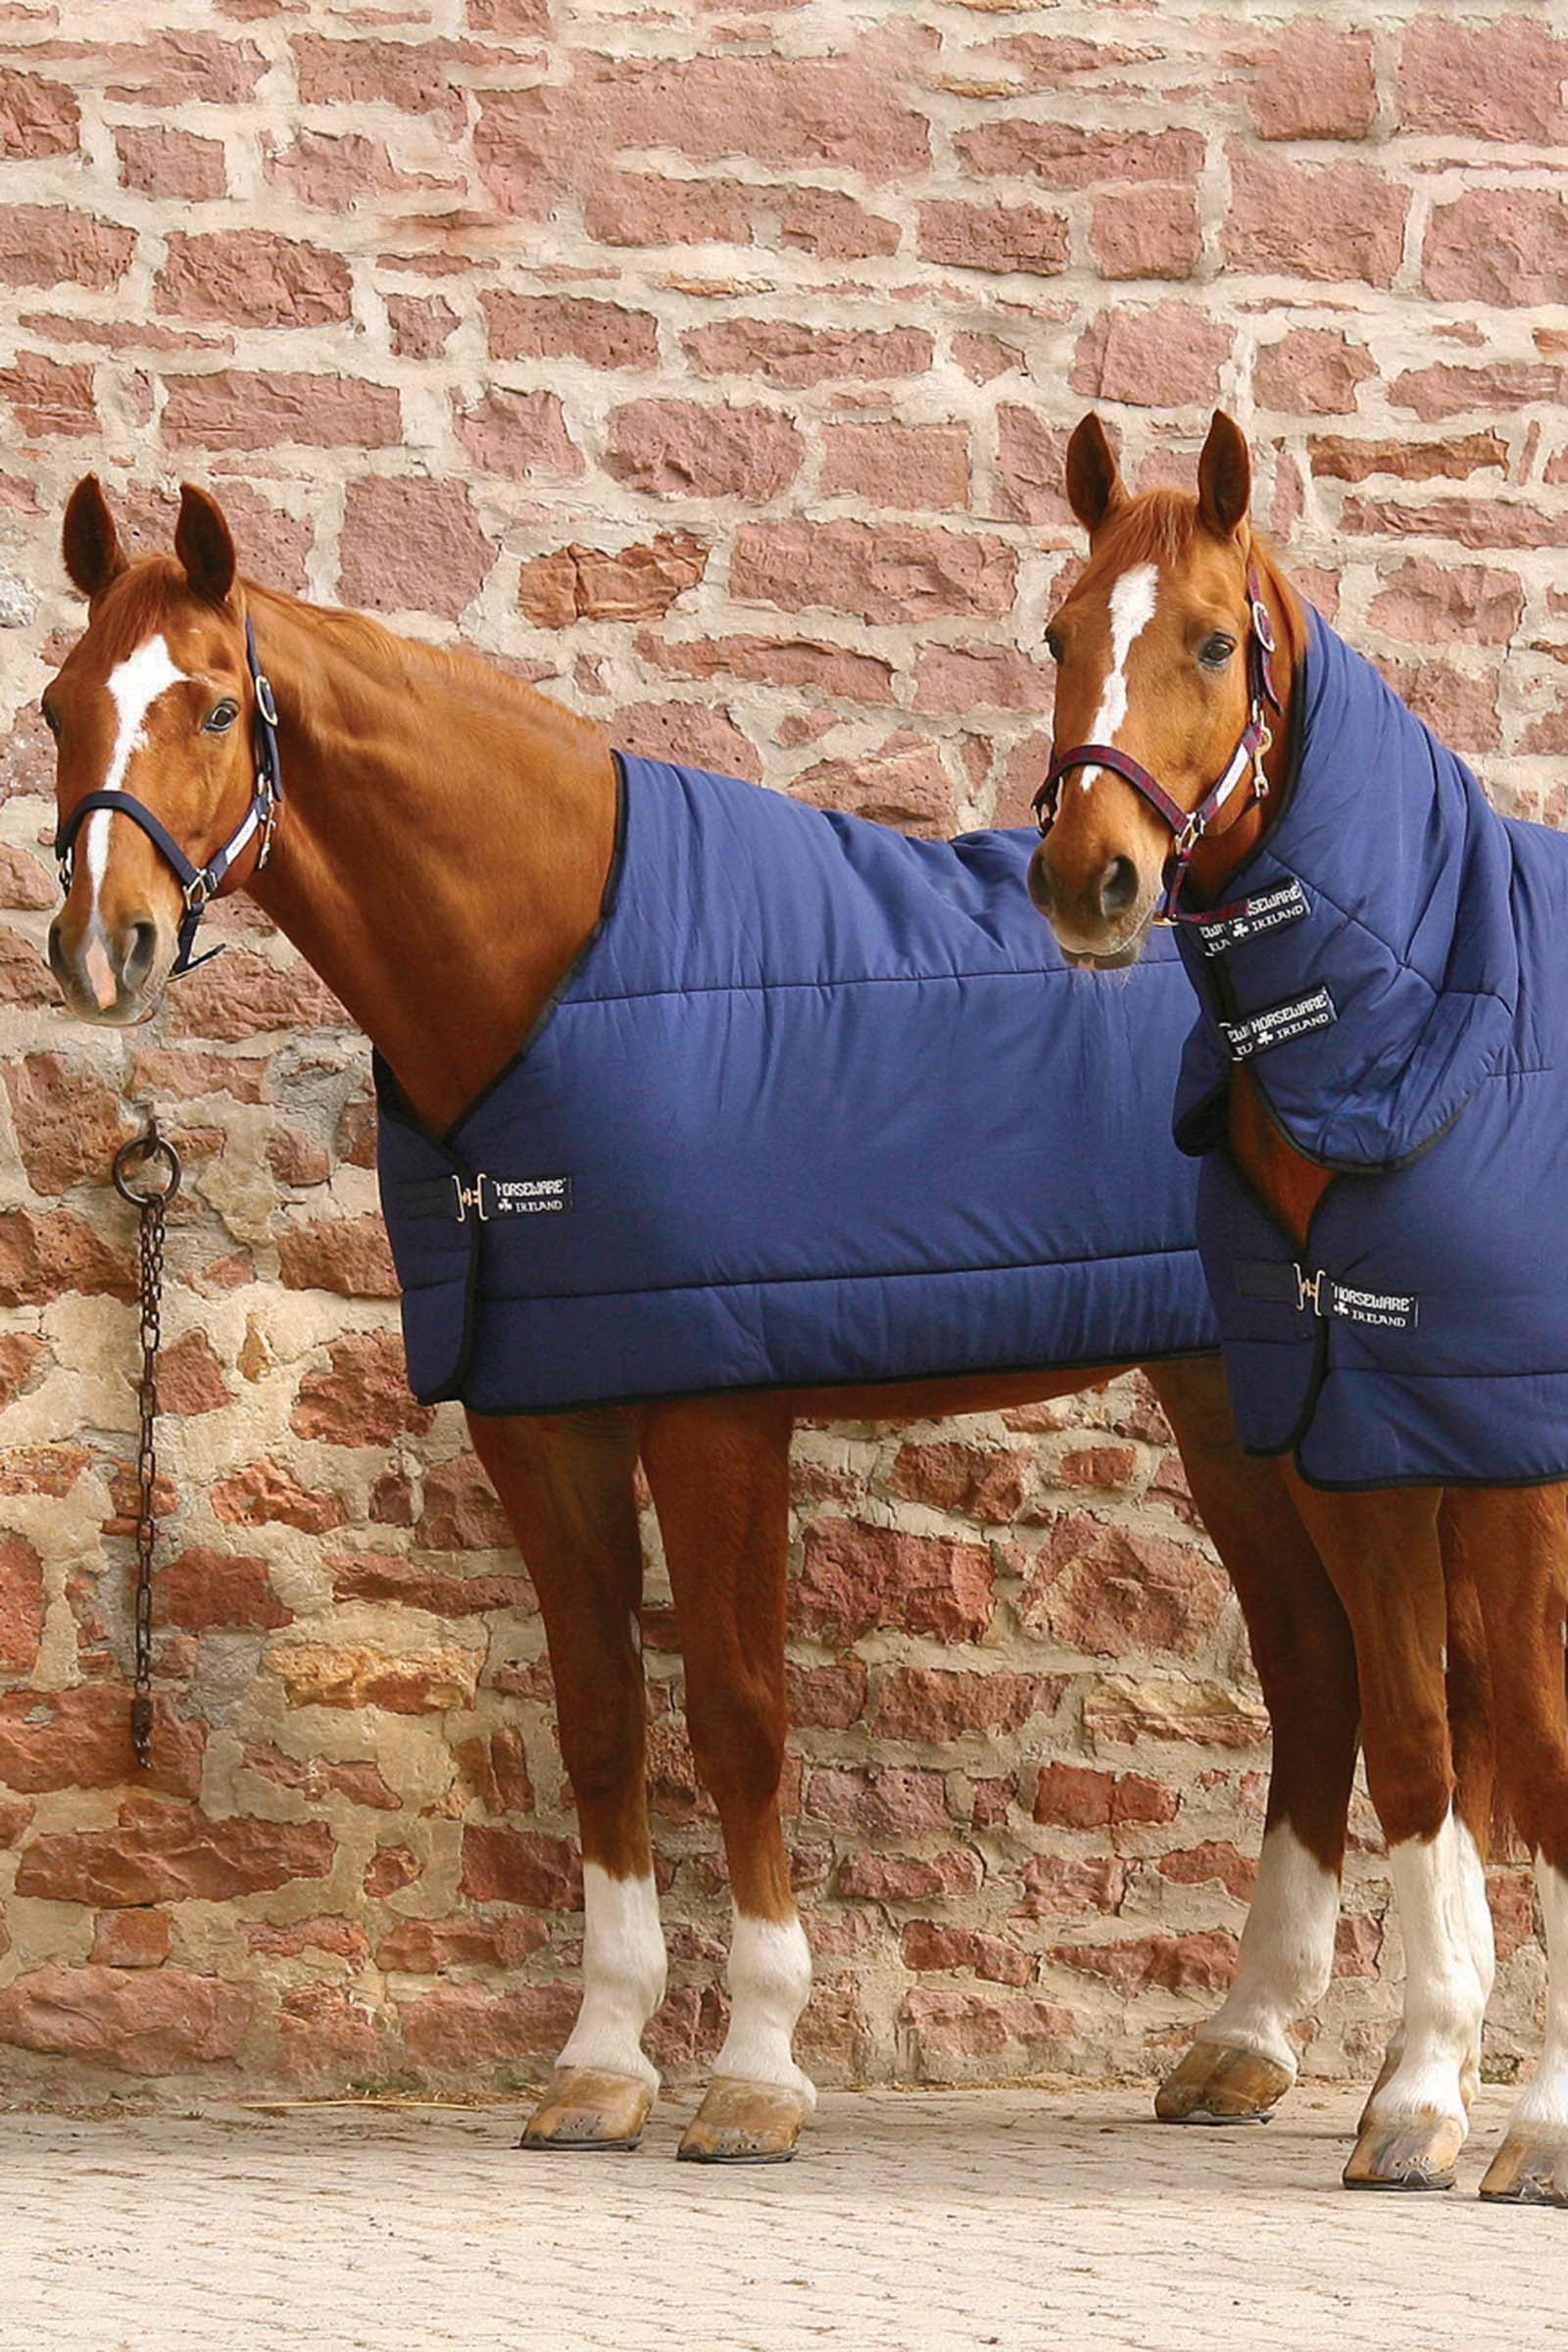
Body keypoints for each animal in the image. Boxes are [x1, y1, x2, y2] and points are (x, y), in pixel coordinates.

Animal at [42, 473, 1365, 2165]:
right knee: (1318, 1666)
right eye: (61, 706)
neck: (555, 968)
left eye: (214, 704)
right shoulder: (540, 1417)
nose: (104, 945)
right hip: (1226, 1393)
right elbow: (603, 1719)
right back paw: (1246, 2044)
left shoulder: (717, 1412)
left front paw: (755, 2072)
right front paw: (600, 2064)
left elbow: (737, 1719)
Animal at [1029, 407, 1568, 2207]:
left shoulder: (1513, 1467)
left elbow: (1545, 1749)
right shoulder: (1359, 1451)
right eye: (1059, 634)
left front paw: (1544, 2123)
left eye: (1212, 641)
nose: (1090, 879)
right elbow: (1413, 1737)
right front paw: (1421, 2090)